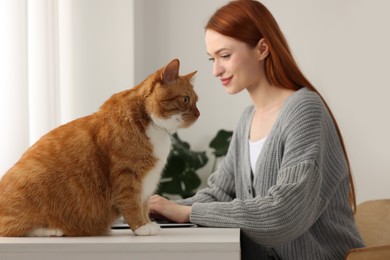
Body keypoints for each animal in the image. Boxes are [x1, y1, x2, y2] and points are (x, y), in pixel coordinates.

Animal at [0, 59, 200, 238]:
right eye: (185, 99)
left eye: (197, 101)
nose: (198, 114)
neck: (151, 124)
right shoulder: (127, 176)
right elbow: (132, 205)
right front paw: (141, 227)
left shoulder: (146, 184)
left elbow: (143, 205)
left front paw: (148, 222)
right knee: (12, 228)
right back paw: (53, 229)